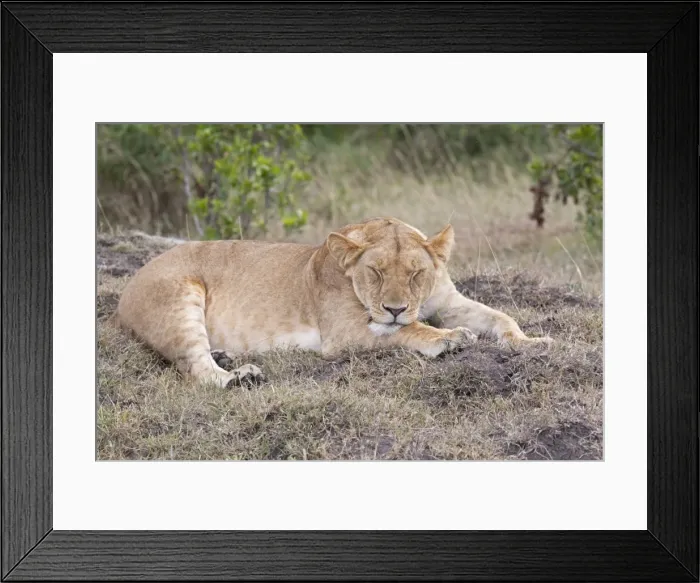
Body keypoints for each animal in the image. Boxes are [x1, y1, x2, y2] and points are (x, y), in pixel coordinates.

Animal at [116, 217, 552, 388]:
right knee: (195, 368)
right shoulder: (343, 333)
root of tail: (129, 284)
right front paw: (449, 338)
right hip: (180, 298)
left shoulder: (449, 300)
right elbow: (405, 331)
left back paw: (226, 356)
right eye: (375, 272)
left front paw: (532, 342)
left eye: (416, 274)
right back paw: (239, 377)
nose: (394, 308)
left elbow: (500, 317)